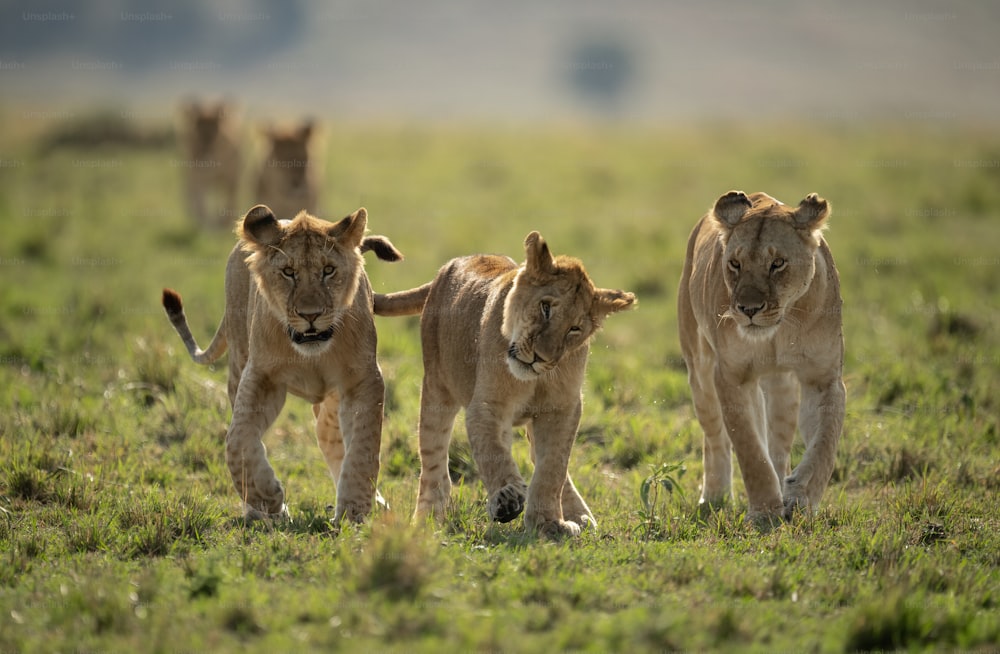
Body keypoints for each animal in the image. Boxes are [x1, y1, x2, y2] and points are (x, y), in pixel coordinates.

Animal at [162, 205, 400, 524]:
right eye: (289, 273)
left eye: (328, 270)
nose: (310, 315)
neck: (311, 352)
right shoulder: (261, 377)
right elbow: (238, 440)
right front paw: (267, 499)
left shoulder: (363, 379)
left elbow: (363, 447)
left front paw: (354, 511)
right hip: (237, 360)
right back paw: (255, 511)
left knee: (330, 438)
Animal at [372, 231, 636, 540]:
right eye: (545, 307)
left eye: (575, 329)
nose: (540, 357)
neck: (535, 380)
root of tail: (449, 266)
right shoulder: (487, 406)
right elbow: (493, 453)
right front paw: (507, 500)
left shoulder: (563, 409)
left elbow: (553, 468)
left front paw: (549, 523)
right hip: (437, 388)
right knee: (433, 460)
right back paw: (426, 520)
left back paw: (580, 516)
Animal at [680, 190, 844, 524]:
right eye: (735, 263)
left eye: (777, 263)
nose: (748, 309)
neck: (779, 330)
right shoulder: (730, 377)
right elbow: (749, 449)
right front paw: (765, 513)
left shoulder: (824, 378)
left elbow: (825, 442)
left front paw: (801, 497)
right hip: (699, 371)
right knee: (715, 438)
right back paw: (714, 497)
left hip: (781, 384)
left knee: (778, 445)